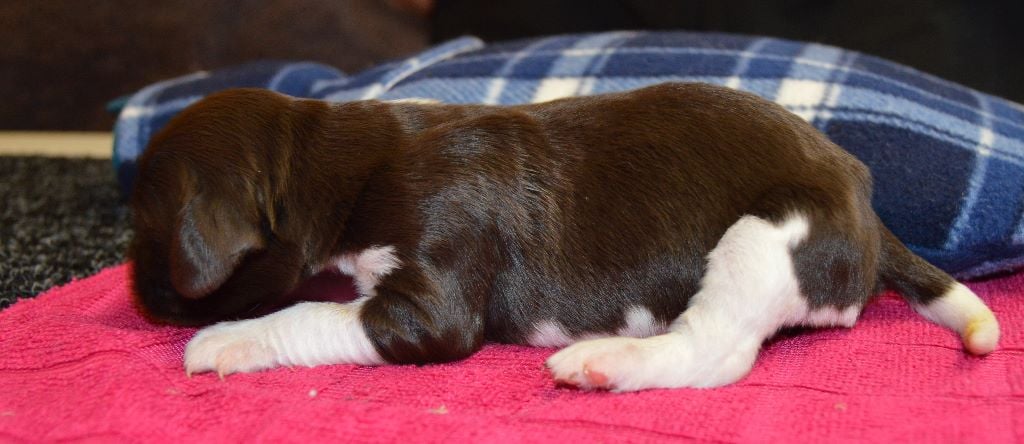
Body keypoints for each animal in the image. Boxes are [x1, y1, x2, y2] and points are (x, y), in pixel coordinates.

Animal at [128, 83, 999, 391]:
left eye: (145, 231)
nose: (132, 298)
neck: (345, 158)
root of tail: (866, 208)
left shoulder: (429, 305)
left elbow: (309, 315)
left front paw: (228, 339)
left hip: (764, 236)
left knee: (715, 351)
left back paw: (609, 362)